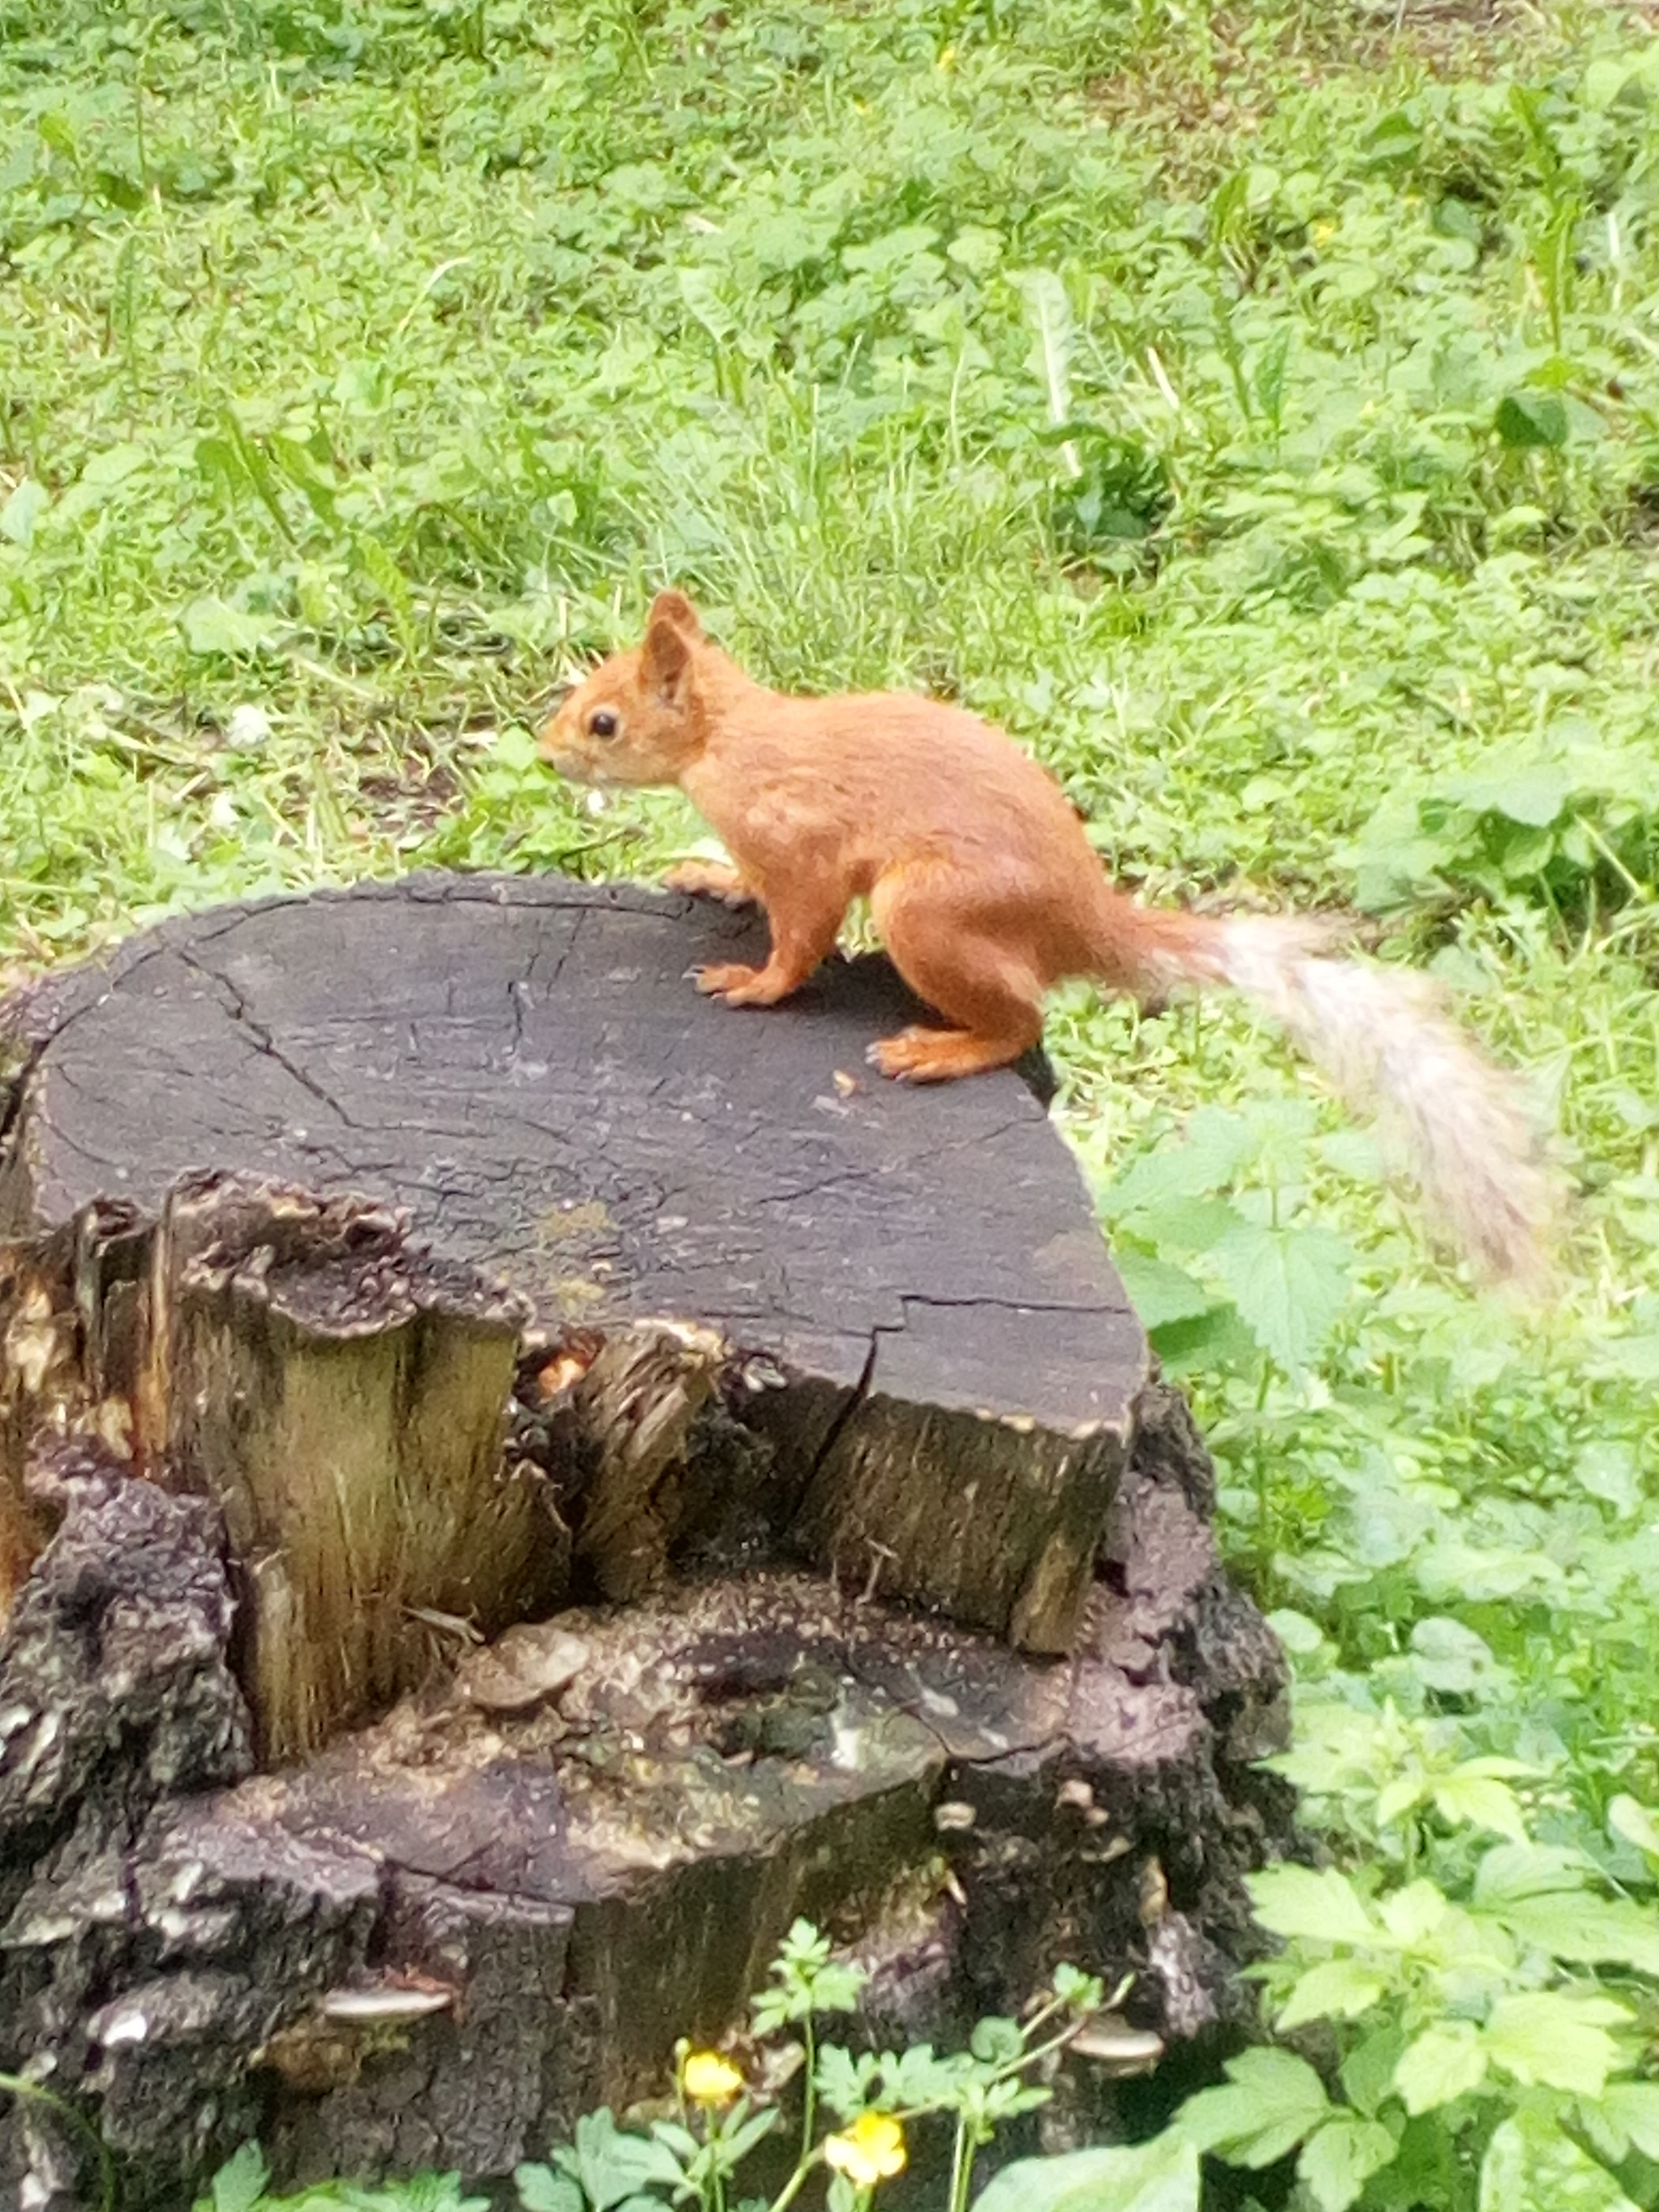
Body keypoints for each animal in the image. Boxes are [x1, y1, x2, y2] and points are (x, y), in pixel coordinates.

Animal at [542, 588, 1557, 1292]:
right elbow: (753, 886)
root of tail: (1087, 921)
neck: (731, 739)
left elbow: (802, 936)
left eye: (605, 721)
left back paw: (941, 1051)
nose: (548, 752)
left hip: (927, 912)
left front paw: (753, 983)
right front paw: (710, 876)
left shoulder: (805, 847)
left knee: (1023, 1023)